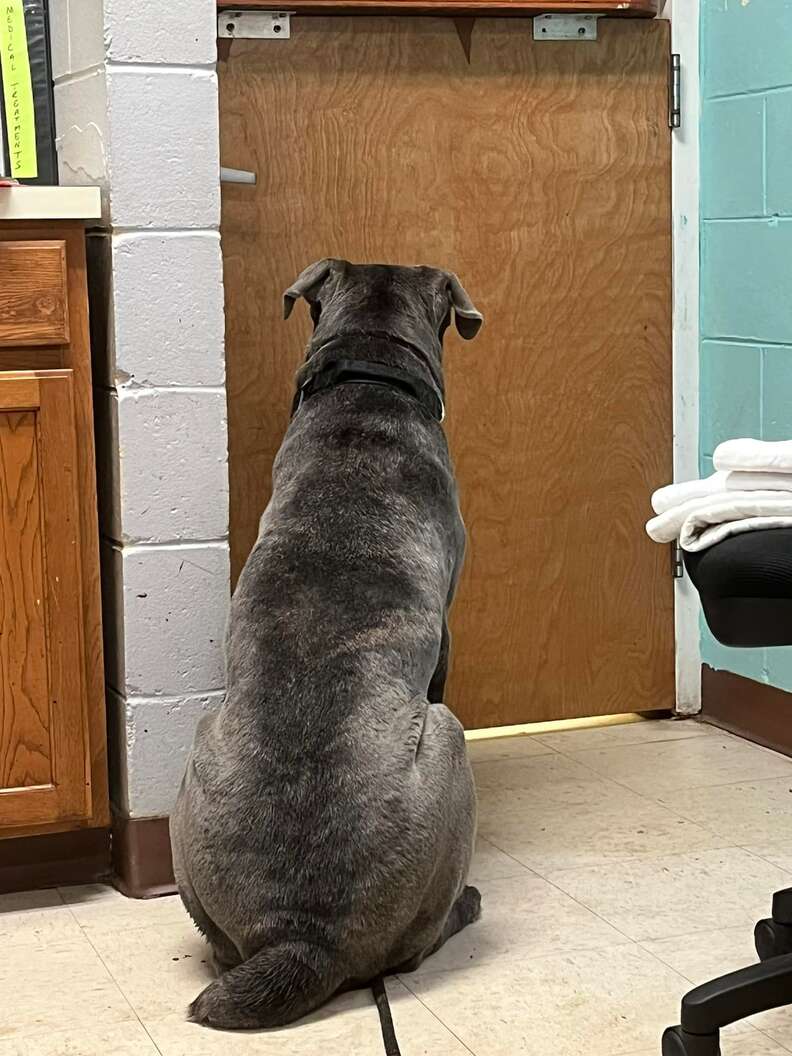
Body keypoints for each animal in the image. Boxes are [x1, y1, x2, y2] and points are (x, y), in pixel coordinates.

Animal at [172, 259, 483, 1026]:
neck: (369, 380)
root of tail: (303, 936)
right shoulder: (447, 631)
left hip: (196, 765)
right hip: (449, 735)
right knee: (417, 946)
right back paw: (465, 906)